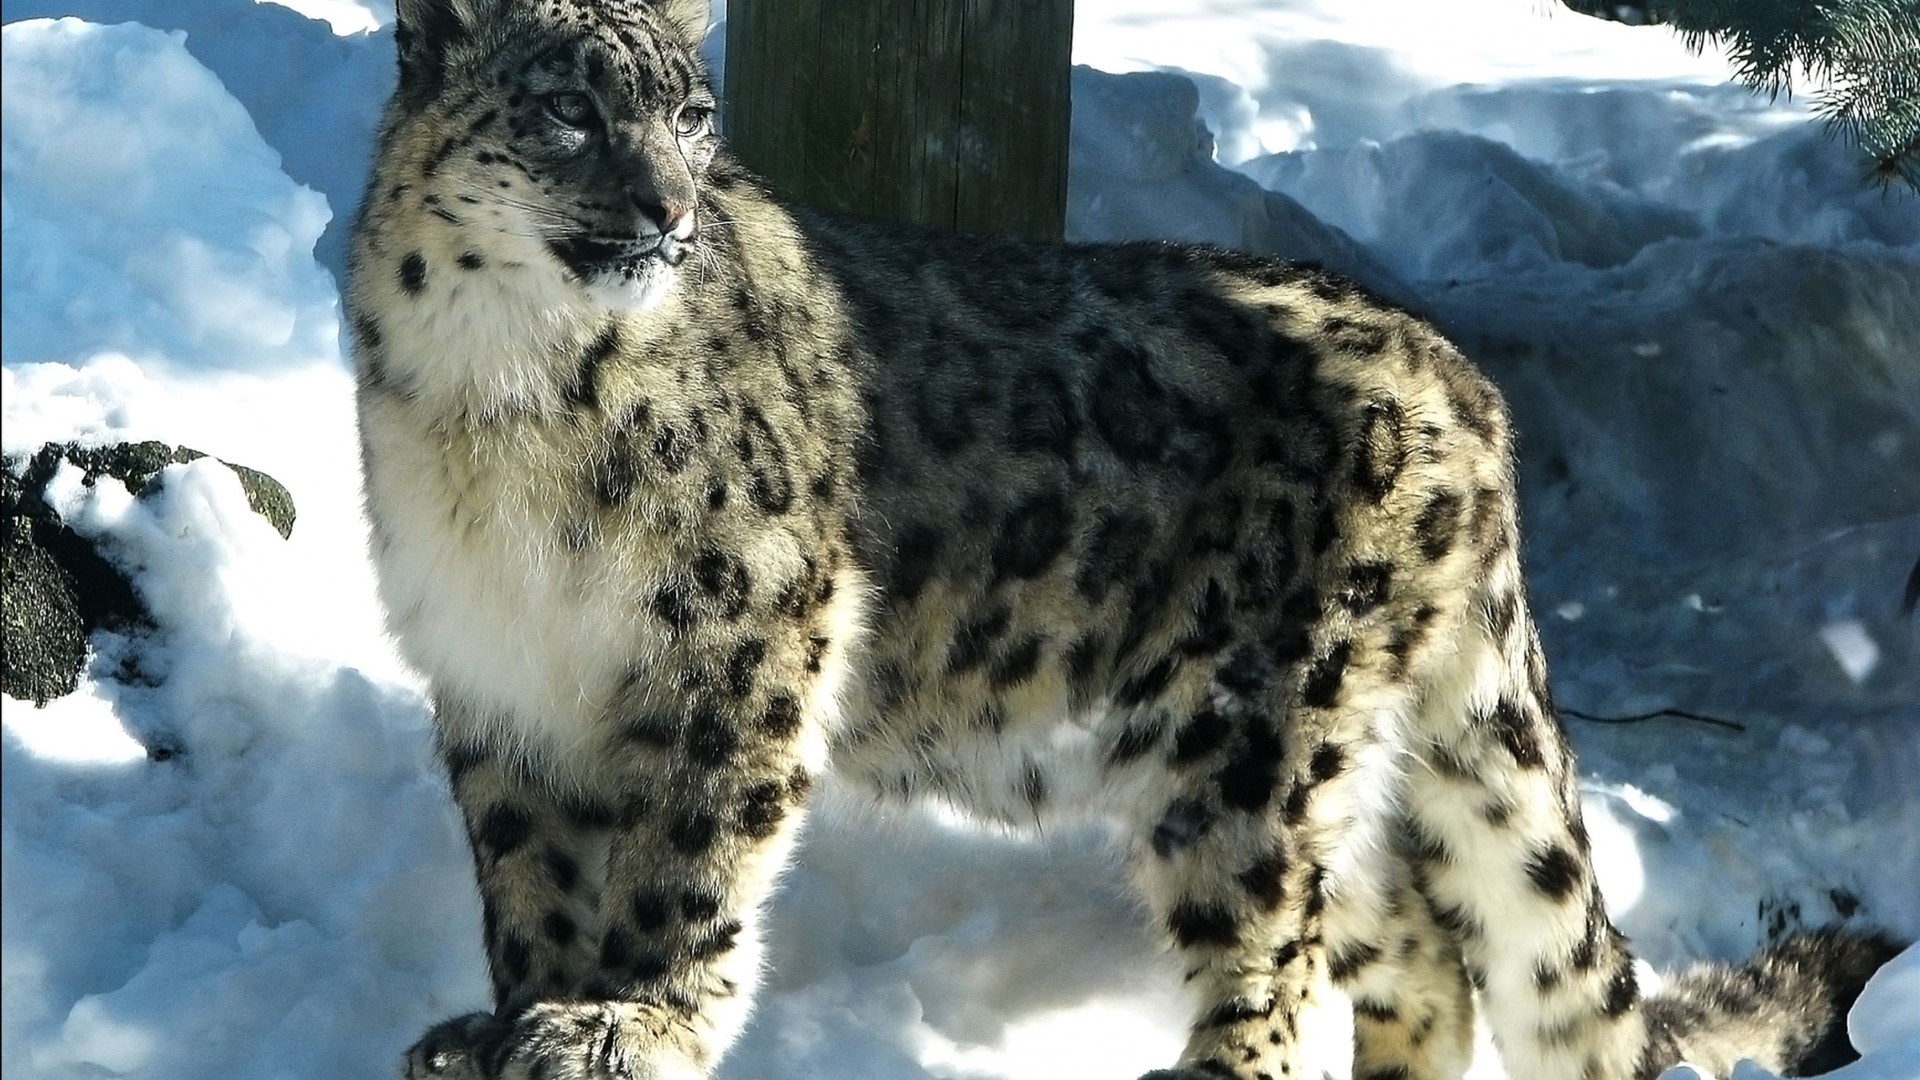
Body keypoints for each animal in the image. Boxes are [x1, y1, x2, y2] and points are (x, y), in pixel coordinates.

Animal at [346, 1, 1900, 1078]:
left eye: (688, 113)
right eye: (566, 108)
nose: (665, 209)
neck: (502, 403)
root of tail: (1465, 384)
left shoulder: (742, 636)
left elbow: (690, 856)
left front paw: (627, 1020)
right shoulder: (493, 671)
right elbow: (528, 869)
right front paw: (508, 1018)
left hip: (1257, 743)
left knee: (1283, 970)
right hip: (1328, 766)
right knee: (1422, 960)